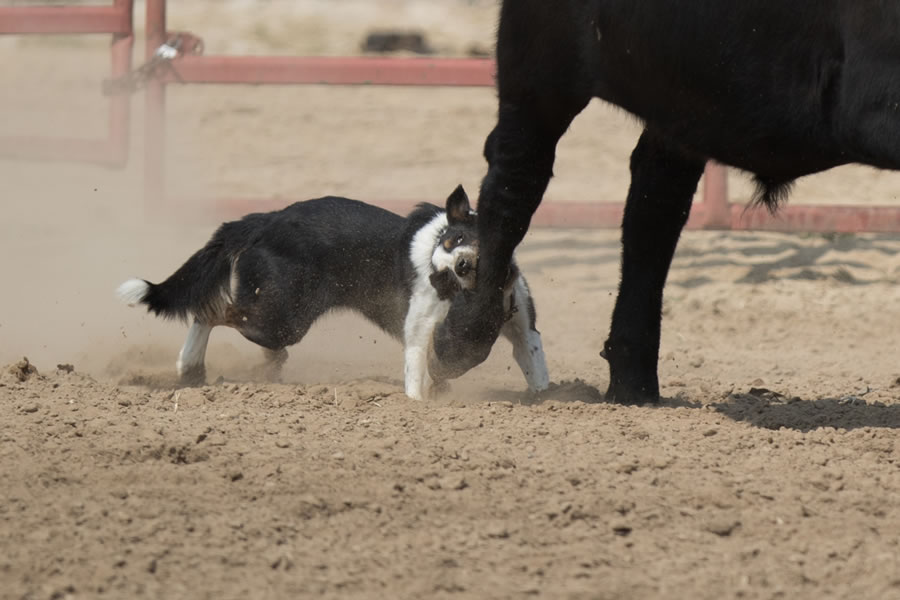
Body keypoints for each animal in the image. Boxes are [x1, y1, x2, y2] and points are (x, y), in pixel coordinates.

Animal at [118, 185, 548, 400]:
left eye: (458, 239)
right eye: (440, 272)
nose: (459, 265)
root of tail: (264, 220)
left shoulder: (524, 328)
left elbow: (535, 366)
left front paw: (546, 398)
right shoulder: (420, 331)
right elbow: (416, 372)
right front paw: (417, 404)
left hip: (278, 317)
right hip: (282, 318)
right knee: (211, 312)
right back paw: (191, 366)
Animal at [428, 1, 892, 404]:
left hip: (679, 99)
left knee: (651, 210)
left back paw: (633, 384)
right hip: (542, 69)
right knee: (513, 185)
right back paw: (460, 342)